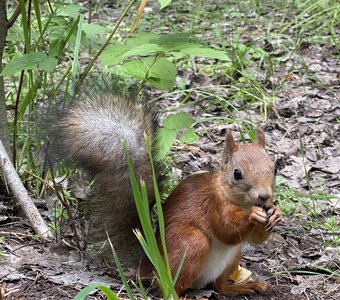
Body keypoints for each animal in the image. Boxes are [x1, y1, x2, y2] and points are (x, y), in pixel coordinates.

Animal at [49, 87, 282, 298]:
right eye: (237, 174)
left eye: (274, 168)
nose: (264, 196)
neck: (238, 200)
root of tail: (151, 263)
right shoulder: (213, 203)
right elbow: (225, 228)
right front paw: (253, 214)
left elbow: (255, 239)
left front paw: (275, 213)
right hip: (190, 243)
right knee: (166, 288)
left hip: (233, 256)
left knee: (220, 287)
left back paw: (243, 286)